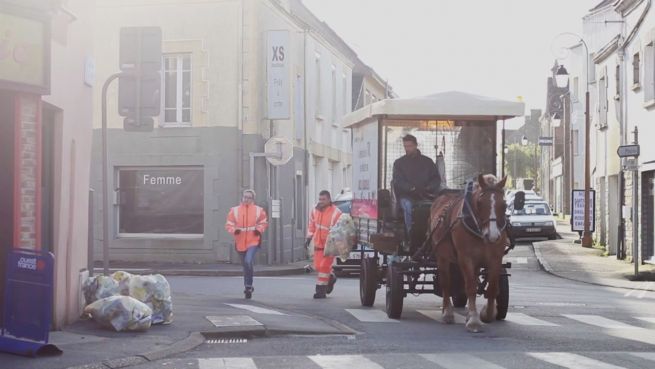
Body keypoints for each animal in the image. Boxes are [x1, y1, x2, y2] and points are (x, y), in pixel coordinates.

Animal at [434, 174, 510, 332]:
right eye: (480, 203)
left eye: (504, 205)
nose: (493, 236)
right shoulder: (465, 258)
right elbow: (470, 287)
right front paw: (474, 321)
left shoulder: (496, 258)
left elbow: (492, 288)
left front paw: (487, 313)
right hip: (442, 257)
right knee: (446, 283)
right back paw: (447, 312)